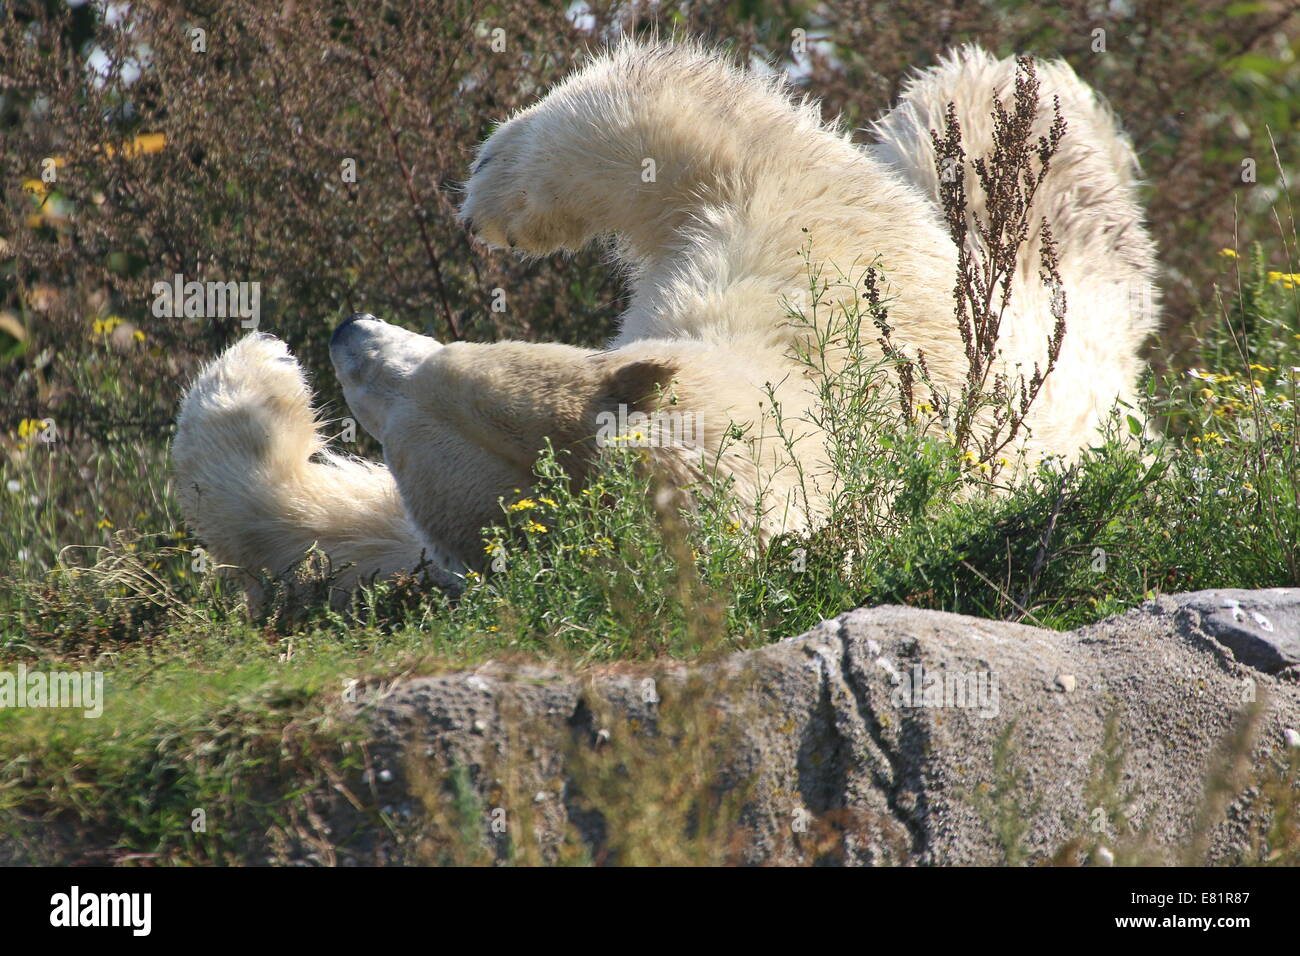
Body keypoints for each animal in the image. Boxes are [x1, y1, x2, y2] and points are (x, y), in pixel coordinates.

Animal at [170, 44, 1159, 600]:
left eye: (411, 403)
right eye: (456, 354)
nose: (346, 338)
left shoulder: (819, 269)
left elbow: (704, 128)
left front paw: (493, 190)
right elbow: (333, 543)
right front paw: (255, 383)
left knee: (1018, 178)